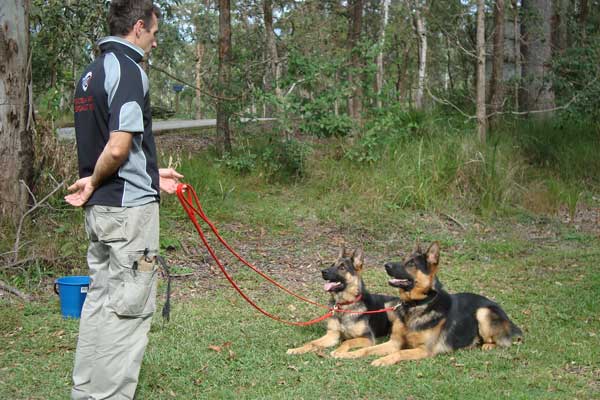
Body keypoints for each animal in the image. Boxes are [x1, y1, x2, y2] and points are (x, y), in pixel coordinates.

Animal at [336, 241, 524, 366]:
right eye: (403, 259)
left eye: (411, 263)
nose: (386, 265)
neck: (415, 305)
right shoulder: (393, 342)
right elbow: (367, 349)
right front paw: (349, 354)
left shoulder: (423, 350)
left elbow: (400, 353)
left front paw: (383, 360)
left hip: (483, 312)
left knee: (502, 342)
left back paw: (487, 346)